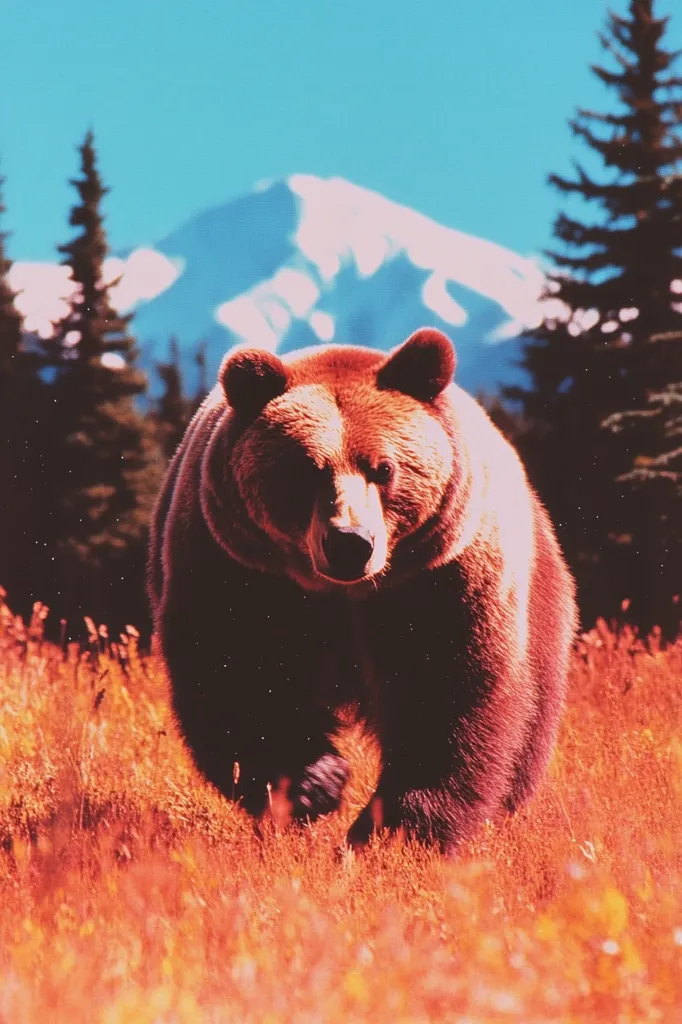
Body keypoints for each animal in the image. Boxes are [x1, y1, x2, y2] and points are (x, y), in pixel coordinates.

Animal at [148, 327, 578, 853]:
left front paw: (397, 829)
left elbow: (446, 689)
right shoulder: (237, 569)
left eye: (384, 468)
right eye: (305, 470)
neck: (340, 593)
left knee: (529, 717)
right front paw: (314, 784)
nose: (349, 542)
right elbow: (238, 673)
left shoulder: (440, 579)